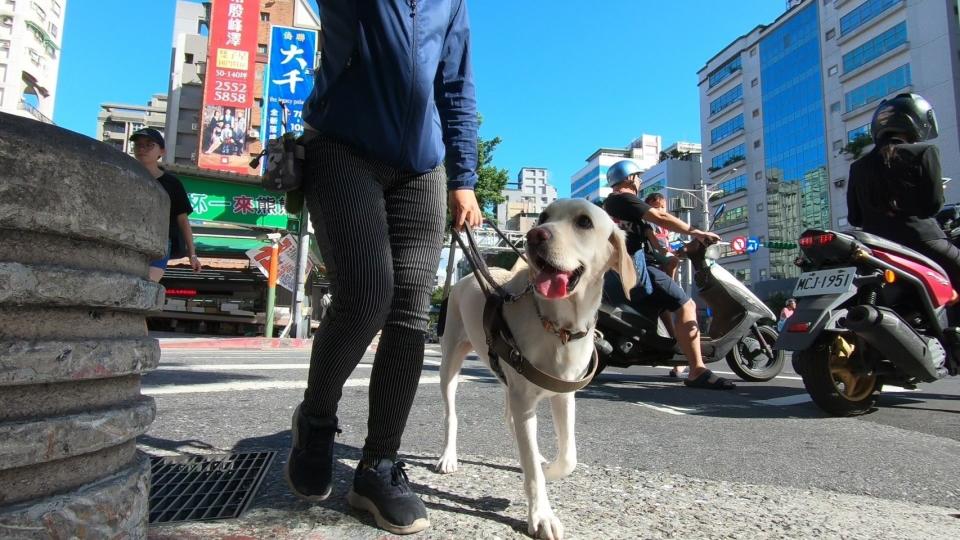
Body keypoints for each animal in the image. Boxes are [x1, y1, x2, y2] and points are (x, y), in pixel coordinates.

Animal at [436, 199, 636, 540]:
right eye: (542, 217)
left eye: (584, 222)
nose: (534, 235)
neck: (559, 327)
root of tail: (466, 278)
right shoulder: (525, 398)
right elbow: (532, 467)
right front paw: (542, 515)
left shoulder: (563, 394)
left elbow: (568, 456)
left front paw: (548, 467)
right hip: (450, 360)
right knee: (451, 414)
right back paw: (448, 456)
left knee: (510, 418)